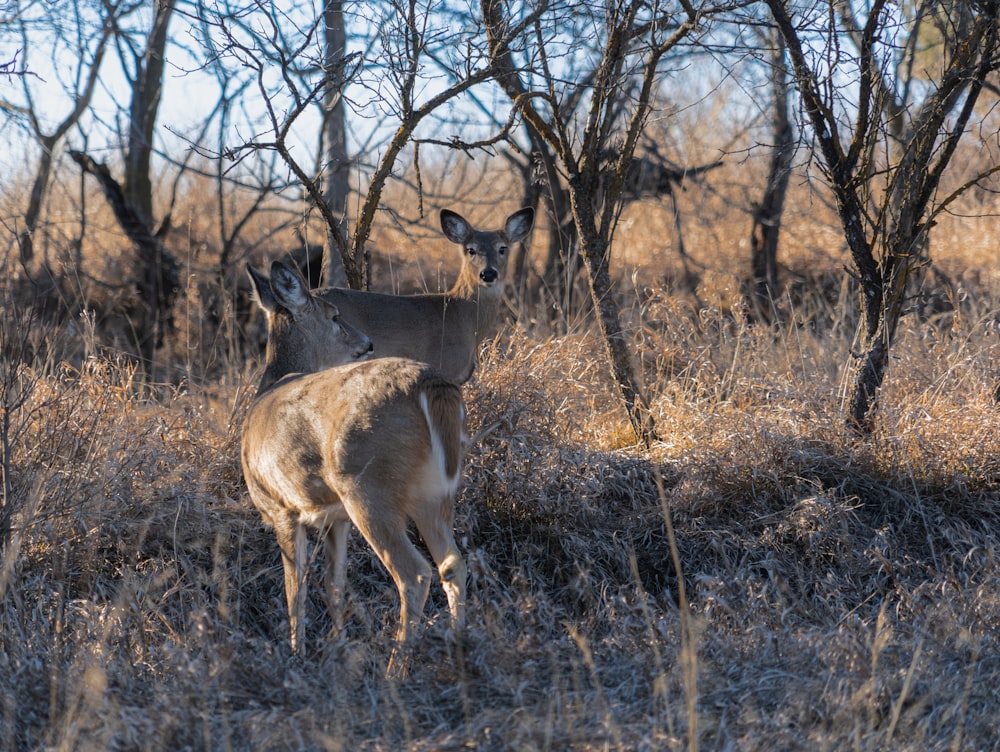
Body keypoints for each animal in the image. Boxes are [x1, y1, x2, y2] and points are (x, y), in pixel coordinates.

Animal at [246, 258, 472, 676]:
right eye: (335, 316)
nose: (367, 343)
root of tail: (432, 385)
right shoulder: (334, 518)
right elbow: (333, 585)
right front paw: (336, 649)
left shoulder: (281, 506)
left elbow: (294, 589)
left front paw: (297, 656)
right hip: (434, 492)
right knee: (452, 563)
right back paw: (459, 649)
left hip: (367, 487)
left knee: (414, 573)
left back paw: (394, 670)